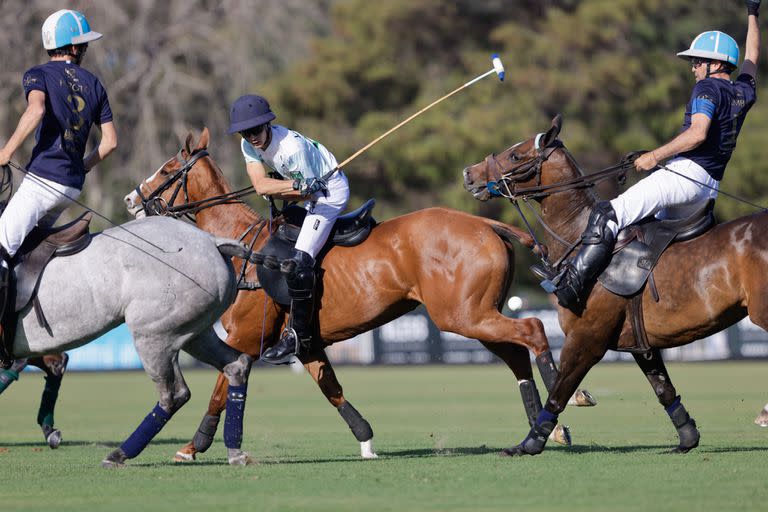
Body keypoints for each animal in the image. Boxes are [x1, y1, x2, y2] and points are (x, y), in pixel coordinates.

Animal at [5, 216, 255, 468]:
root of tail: (212, 241)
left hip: (153, 336)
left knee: (173, 394)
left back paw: (119, 454)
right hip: (196, 333)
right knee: (236, 365)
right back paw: (235, 451)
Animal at [124, 127, 592, 460]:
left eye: (167, 169)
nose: (131, 199)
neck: (242, 247)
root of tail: (485, 223)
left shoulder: (243, 337)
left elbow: (222, 389)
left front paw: (192, 447)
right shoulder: (306, 341)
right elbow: (331, 387)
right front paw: (366, 441)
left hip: (462, 315)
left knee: (532, 330)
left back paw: (564, 407)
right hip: (473, 314)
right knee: (515, 352)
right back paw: (545, 428)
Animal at [462, 116, 768, 456]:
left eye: (516, 155)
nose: (469, 174)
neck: (576, 237)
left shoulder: (587, 338)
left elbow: (560, 391)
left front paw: (530, 443)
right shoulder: (641, 344)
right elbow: (663, 388)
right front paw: (687, 439)